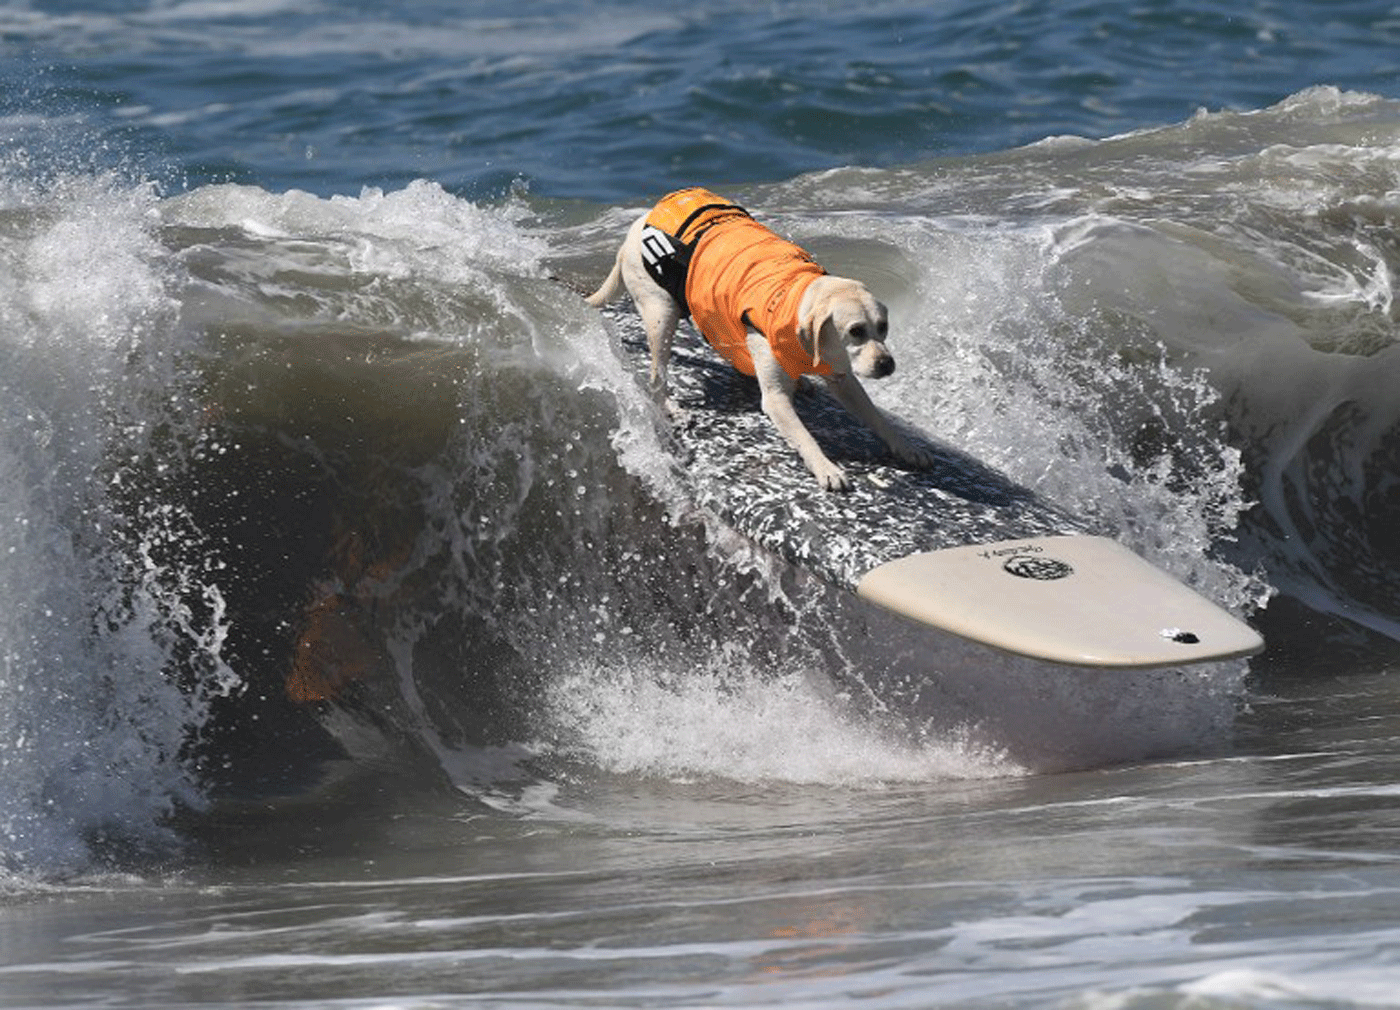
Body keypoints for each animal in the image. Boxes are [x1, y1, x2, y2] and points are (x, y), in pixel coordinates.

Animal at [585, 189, 935, 493]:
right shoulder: (776, 399)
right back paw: (671, 408)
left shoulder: (844, 379)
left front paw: (905, 447)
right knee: (657, 378)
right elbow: (805, 436)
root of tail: (632, 232)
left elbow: (876, 417)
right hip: (662, 314)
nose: (887, 364)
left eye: (883, 327)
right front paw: (826, 467)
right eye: (856, 331)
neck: (797, 301)